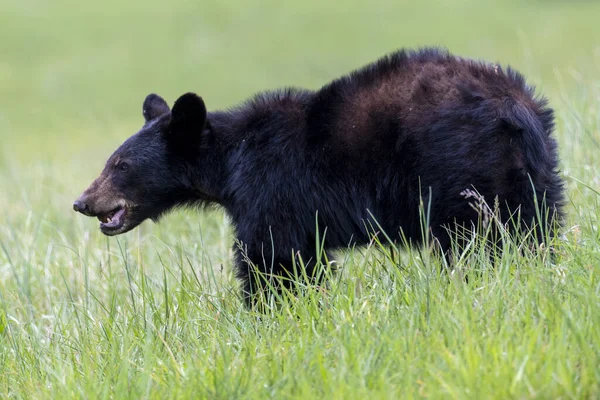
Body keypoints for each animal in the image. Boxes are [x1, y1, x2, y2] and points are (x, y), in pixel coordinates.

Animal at [74, 48, 564, 304]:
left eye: (120, 165)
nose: (82, 201)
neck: (229, 163)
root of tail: (515, 108)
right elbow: (301, 257)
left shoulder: (272, 185)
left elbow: (272, 257)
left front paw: (270, 310)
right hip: (533, 173)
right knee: (534, 229)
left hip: (459, 169)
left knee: (475, 239)